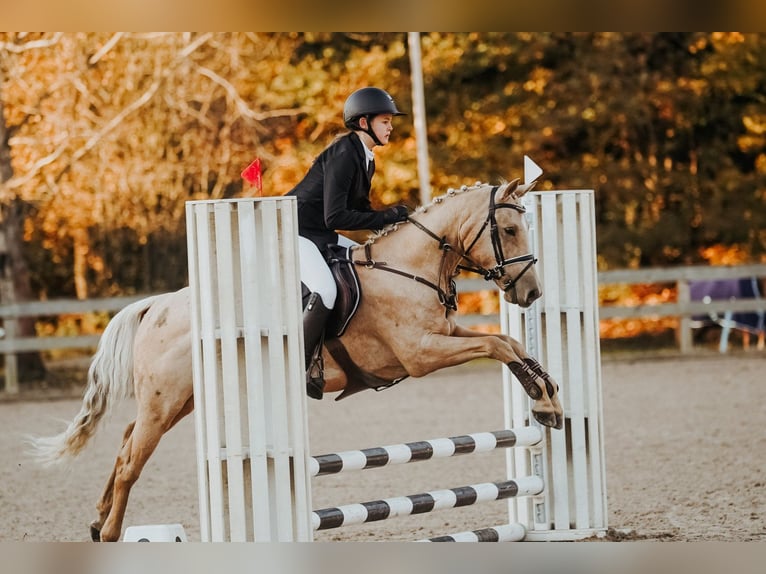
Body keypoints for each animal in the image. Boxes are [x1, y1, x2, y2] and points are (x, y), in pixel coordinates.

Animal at [28, 178, 564, 544]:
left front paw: (549, 399)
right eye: (510, 229)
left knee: (124, 442)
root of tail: (158, 305)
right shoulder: (420, 354)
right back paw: (111, 532)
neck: (409, 268)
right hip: (166, 403)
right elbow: (498, 346)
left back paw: (98, 520)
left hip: (182, 400)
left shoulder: (446, 335)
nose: (532, 293)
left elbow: (508, 344)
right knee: (129, 462)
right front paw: (543, 402)